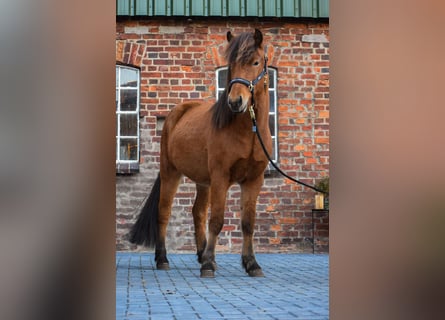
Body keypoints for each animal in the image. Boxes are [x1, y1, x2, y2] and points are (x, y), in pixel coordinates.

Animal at [129, 28, 270, 276]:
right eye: (231, 64)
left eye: (255, 62)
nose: (236, 101)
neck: (249, 132)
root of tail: (176, 113)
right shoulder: (221, 176)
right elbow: (217, 220)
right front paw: (208, 265)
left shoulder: (254, 180)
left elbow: (248, 223)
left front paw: (251, 264)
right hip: (171, 172)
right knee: (164, 213)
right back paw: (163, 258)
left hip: (204, 181)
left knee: (197, 212)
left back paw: (200, 253)